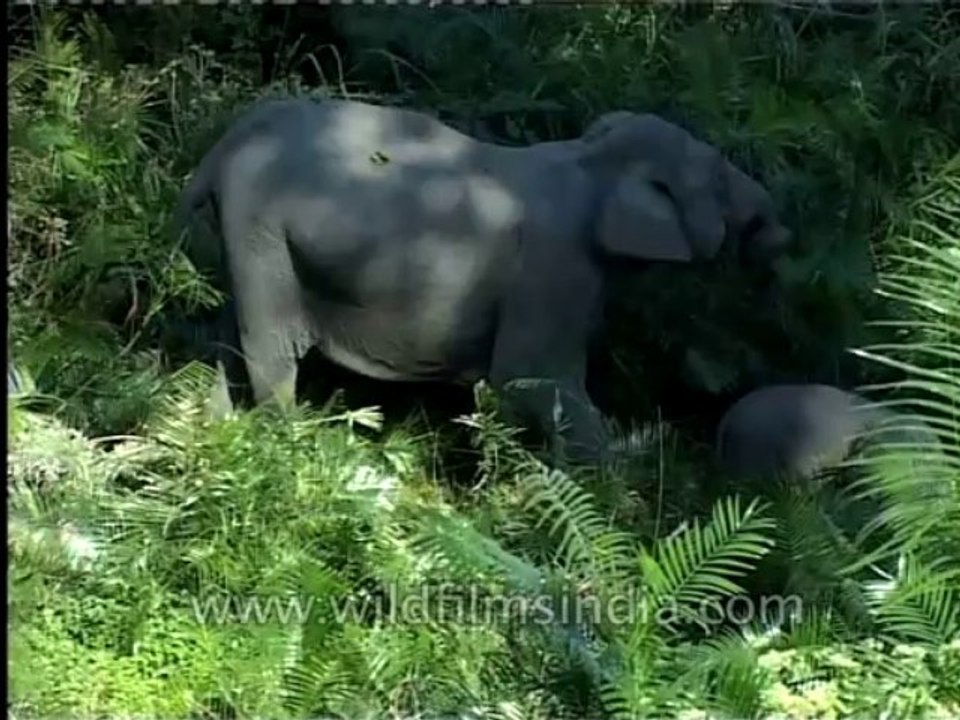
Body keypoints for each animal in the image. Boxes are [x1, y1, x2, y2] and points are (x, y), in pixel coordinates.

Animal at [174, 96, 792, 464]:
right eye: (718, 178)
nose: (779, 234)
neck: (591, 155)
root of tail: (221, 150)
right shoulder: (554, 266)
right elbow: (528, 378)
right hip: (261, 231)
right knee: (270, 347)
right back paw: (287, 449)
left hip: (248, 238)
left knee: (230, 340)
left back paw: (216, 432)